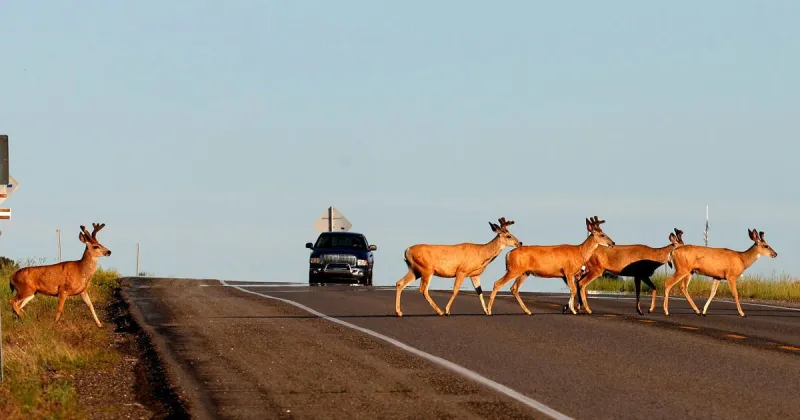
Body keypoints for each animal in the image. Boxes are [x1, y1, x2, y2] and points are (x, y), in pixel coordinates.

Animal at [486, 216, 616, 316]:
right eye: (602, 235)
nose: (613, 243)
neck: (580, 252)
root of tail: (508, 254)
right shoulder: (568, 271)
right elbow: (573, 290)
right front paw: (573, 310)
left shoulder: (567, 274)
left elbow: (572, 290)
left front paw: (569, 308)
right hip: (514, 270)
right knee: (497, 283)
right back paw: (488, 311)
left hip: (524, 272)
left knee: (514, 288)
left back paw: (528, 311)